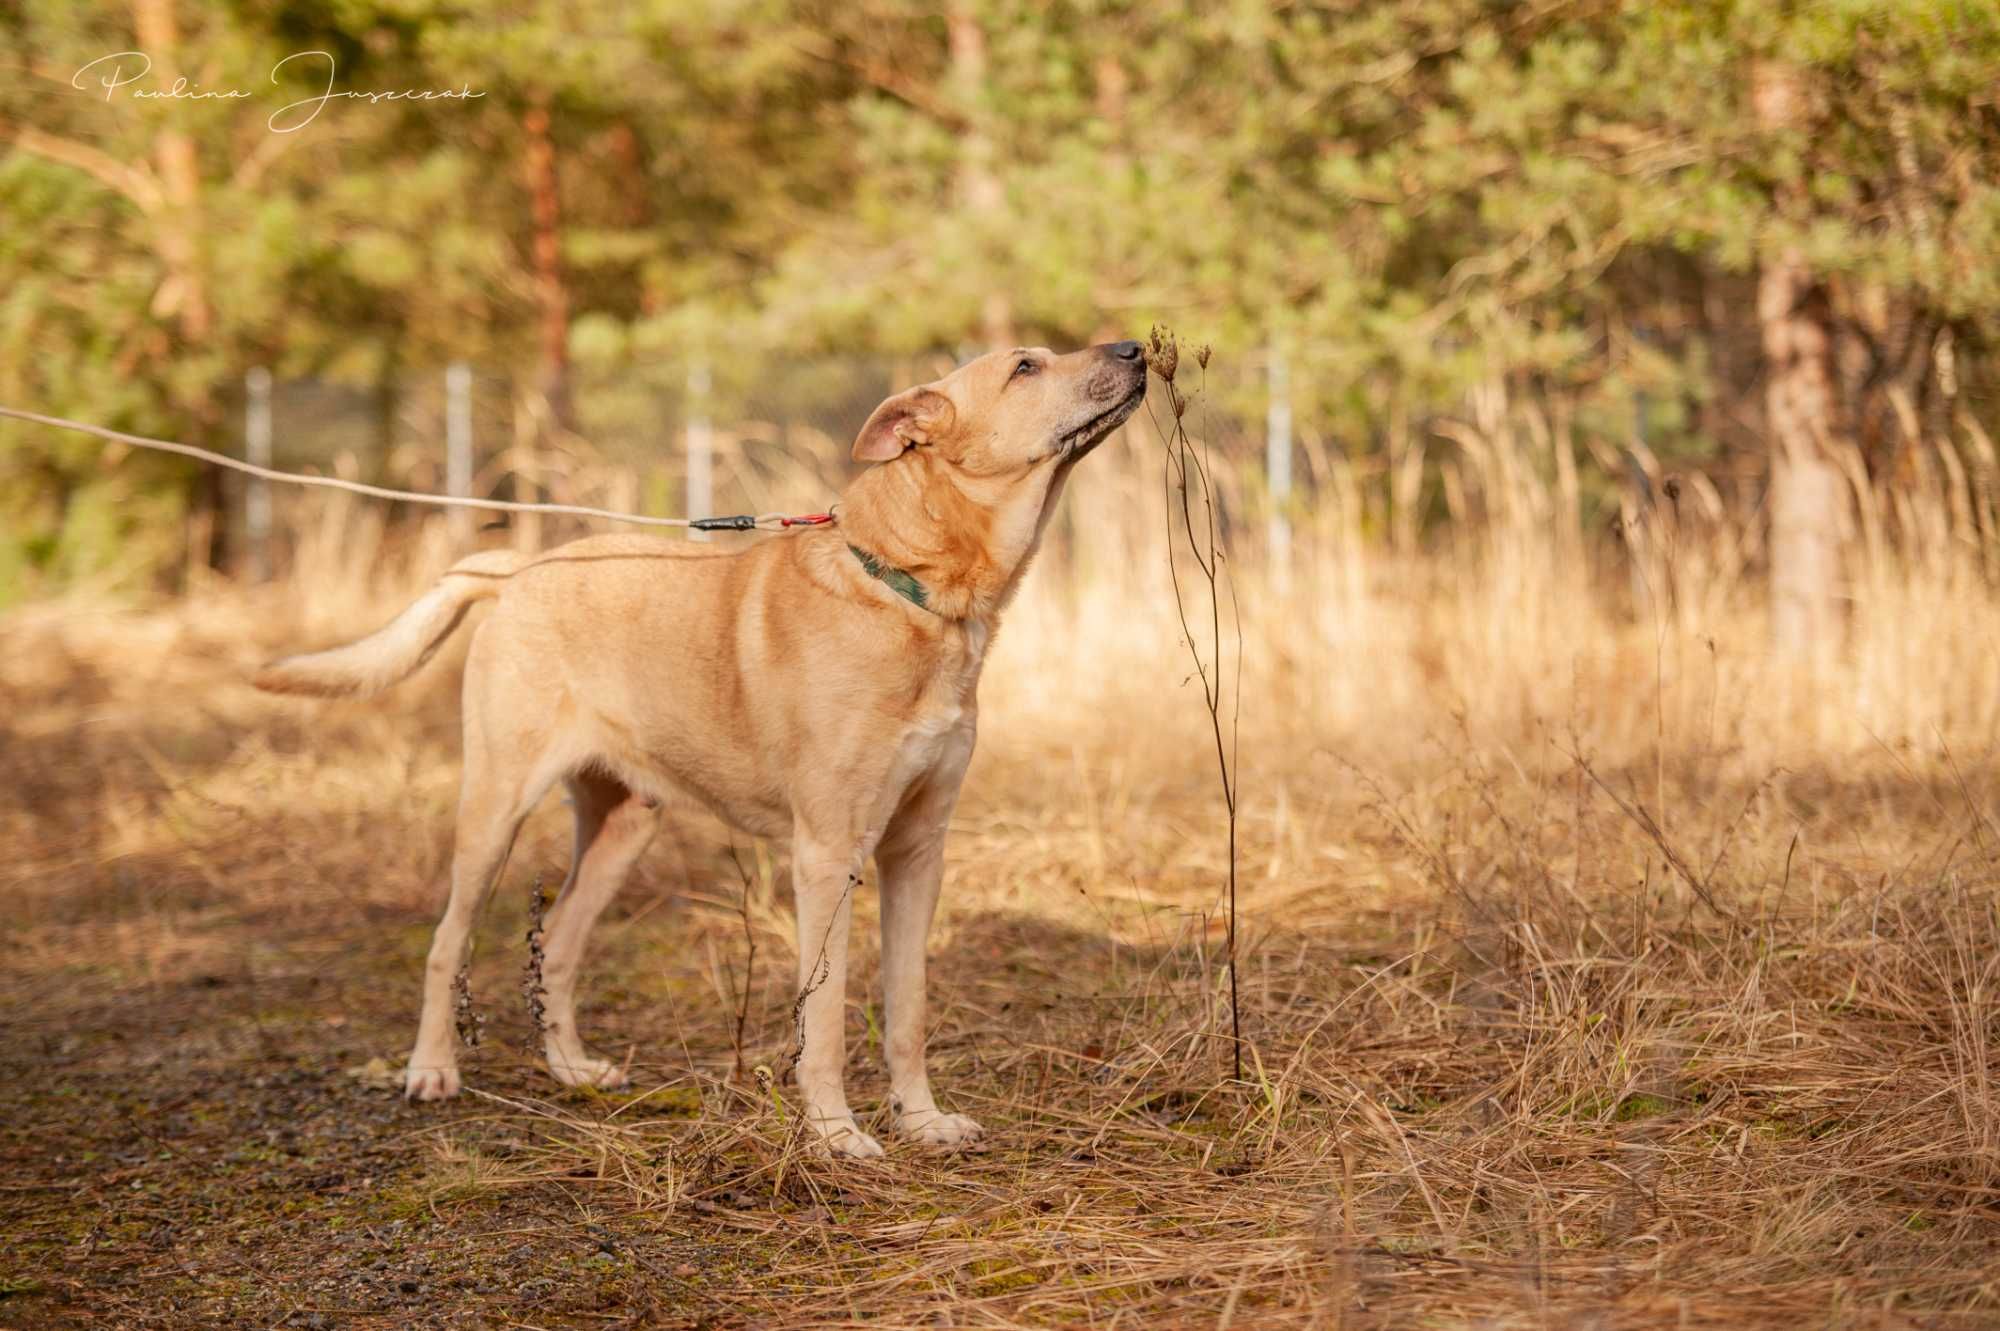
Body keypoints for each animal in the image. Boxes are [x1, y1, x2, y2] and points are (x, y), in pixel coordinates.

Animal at [258, 339, 1152, 1151]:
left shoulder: (919, 849)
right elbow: (825, 1019)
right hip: (493, 811)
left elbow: (908, 1007)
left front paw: (922, 1121)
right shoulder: (827, 854)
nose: (1135, 347)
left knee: (559, 951)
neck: (912, 589)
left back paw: (573, 1071)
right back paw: (431, 1069)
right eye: (1026, 367)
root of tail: (522, 567)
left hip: (625, 827)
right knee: (448, 943)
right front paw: (836, 1135)